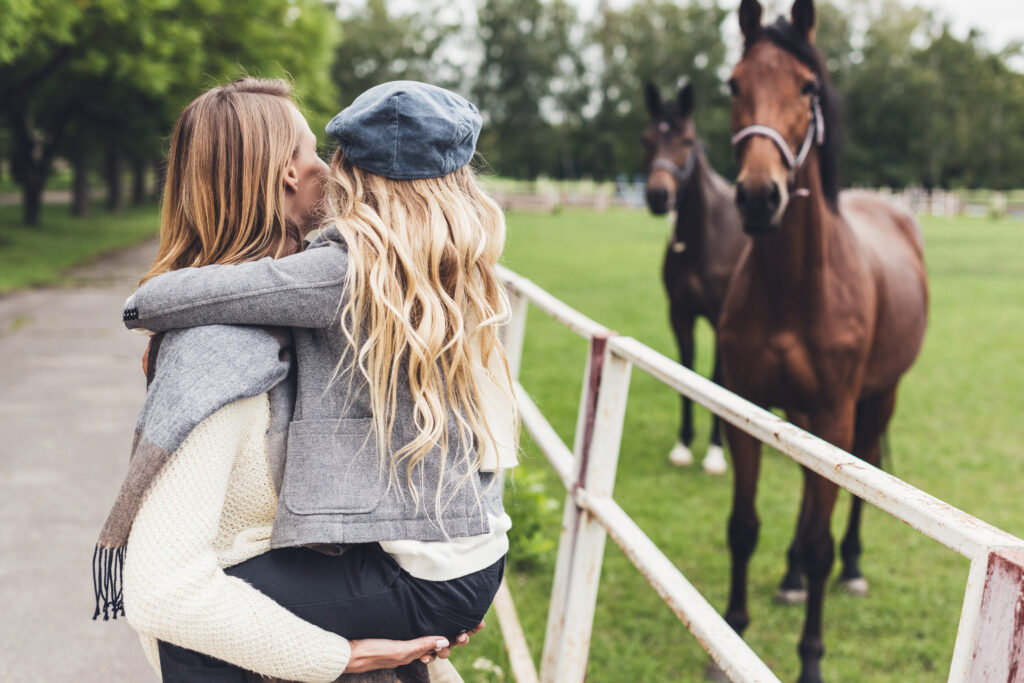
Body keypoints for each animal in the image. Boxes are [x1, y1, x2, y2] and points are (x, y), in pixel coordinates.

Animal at [642, 81, 747, 475]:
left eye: (687, 141)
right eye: (646, 140)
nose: (659, 195)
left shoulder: (720, 321)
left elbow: (717, 379)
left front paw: (716, 452)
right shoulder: (680, 315)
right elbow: (686, 371)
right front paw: (684, 444)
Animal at [716, 1, 928, 680]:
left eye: (808, 88)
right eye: (734, 84)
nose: (760, 197)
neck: (794, 290)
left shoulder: (836, 413)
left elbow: (819, 543)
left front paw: (810, 659)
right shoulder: (748, 412)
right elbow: (745, 526)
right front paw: (730, 636)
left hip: (874, 400)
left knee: (854, 482)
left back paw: (853, 567)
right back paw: (786, 580)